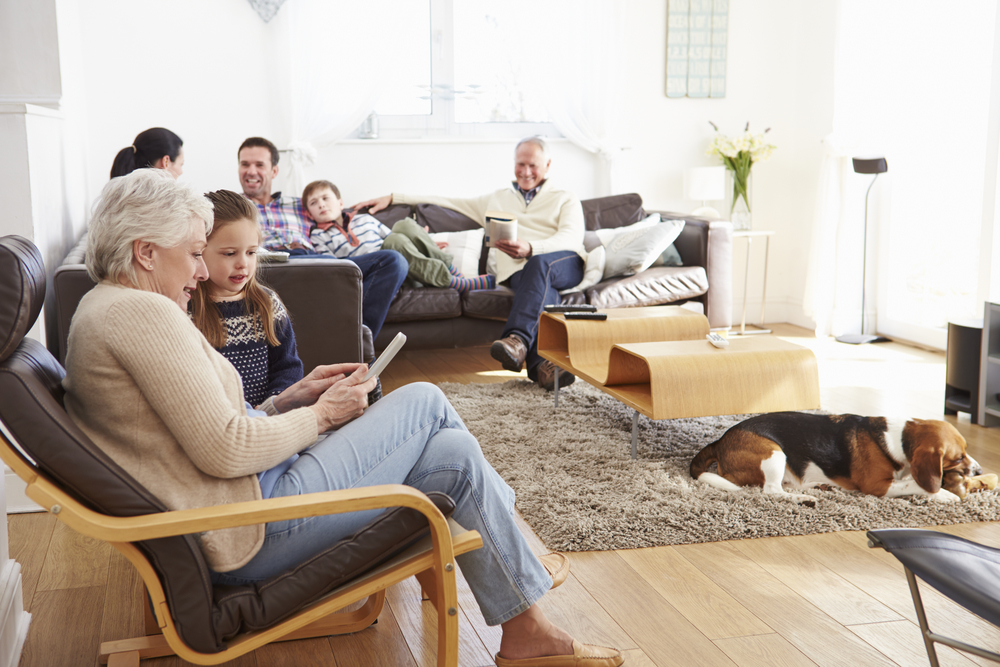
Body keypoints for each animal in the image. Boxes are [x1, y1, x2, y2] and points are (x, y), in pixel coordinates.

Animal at [692, 412, 980, 506]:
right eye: (958, 457)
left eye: (967, 451)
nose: (978, 471)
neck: (897, 438)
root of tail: (720, 441)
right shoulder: (878, 486)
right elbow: (916, 484)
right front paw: (944, 494)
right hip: (773, 452)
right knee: (771, 490)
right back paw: (803, 499)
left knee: (786, 484)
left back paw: (819, 486)